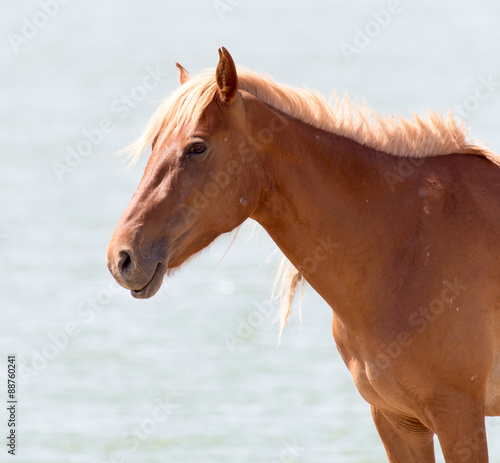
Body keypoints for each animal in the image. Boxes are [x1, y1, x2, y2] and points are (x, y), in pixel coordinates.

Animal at [107, 49, 500, 462]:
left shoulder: (458, 416)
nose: (122, 257)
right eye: (154, 144)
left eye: (197, 147)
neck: (409, 244)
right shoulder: (397, 421)